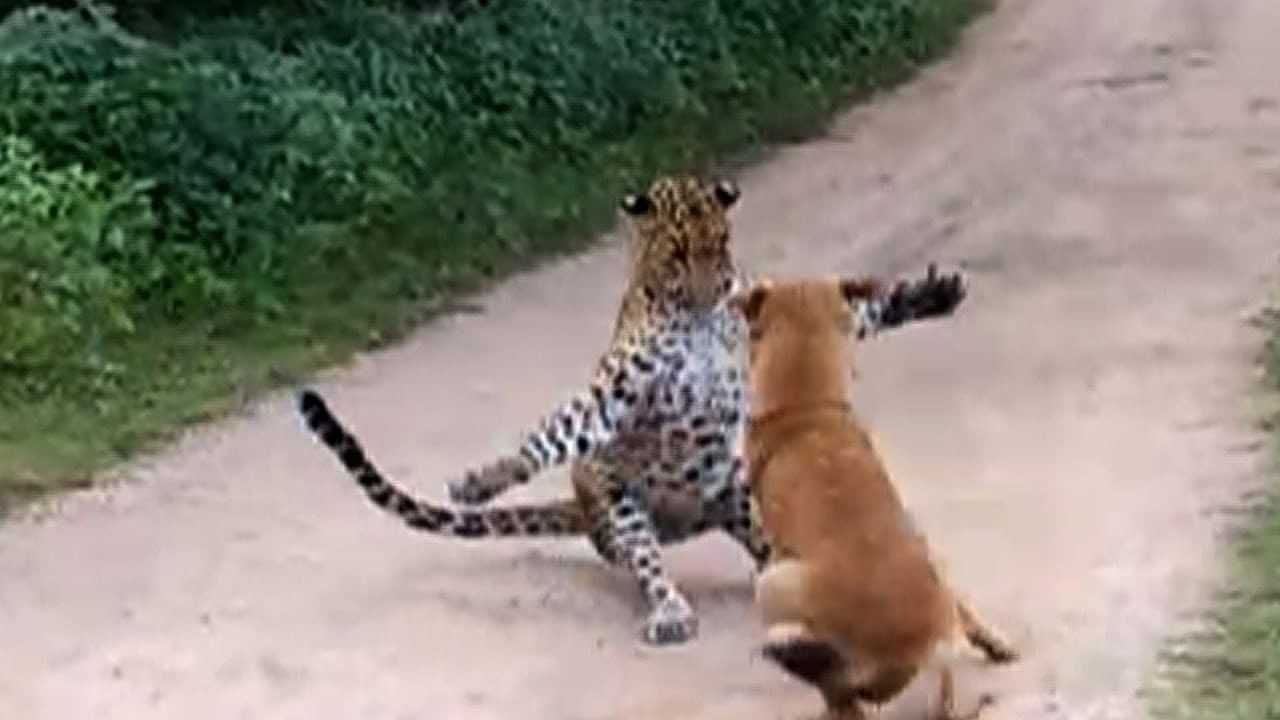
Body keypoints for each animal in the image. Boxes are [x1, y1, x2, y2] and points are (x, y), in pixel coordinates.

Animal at [297, 173, 969, 646]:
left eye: (719, 246)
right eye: (678, 254)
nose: (714, 290)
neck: (696, 316)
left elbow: (860, 312)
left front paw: (927, 296)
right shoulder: (613, 398)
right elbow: (556, 432)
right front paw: (483, 480)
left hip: (742, 491)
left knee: (772, 546)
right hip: (619, 501)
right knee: (648, 564)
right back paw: (671, 611)